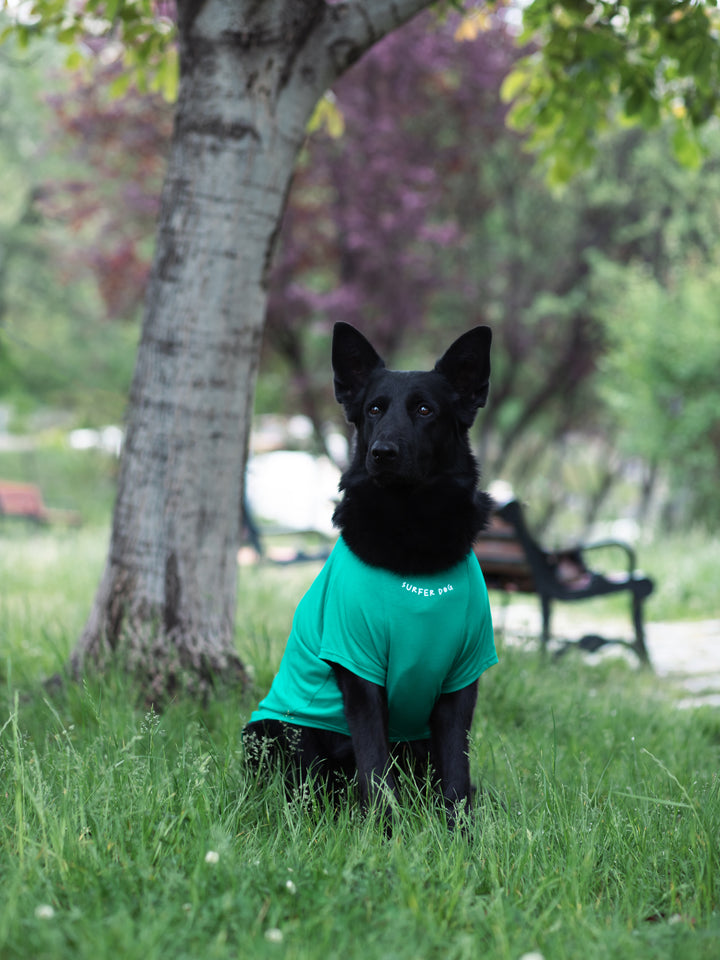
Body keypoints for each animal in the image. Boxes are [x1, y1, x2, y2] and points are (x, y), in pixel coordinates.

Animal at [245, 322, 498, 824]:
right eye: (374, 409)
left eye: (424, 409)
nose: (382, 453)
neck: (412, 535)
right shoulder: (358, 668)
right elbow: (376, 767)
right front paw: (385, 830)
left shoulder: (462, 679)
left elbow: (457, 775)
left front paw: (461, 832)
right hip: (269, 728)